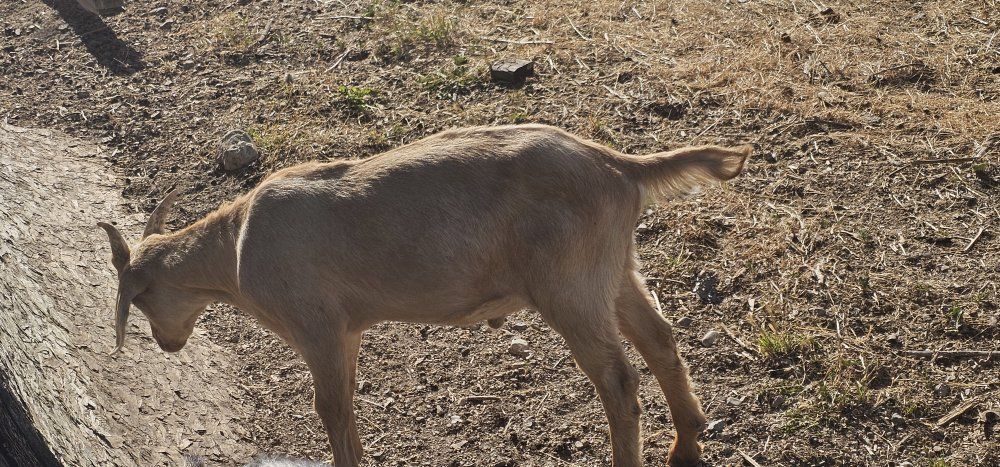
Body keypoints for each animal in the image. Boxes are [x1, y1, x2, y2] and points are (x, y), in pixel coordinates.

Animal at [98, 124, 749, 467]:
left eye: (143, 301)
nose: (166, 344)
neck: (235, 249)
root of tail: (619, 167)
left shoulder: (316, 325)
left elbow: (330, 407)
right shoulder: (348, 330)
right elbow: (345, 401)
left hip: (568, 284)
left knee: (617, 378)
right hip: (612, 269)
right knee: (660, 340)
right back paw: (686, 444)